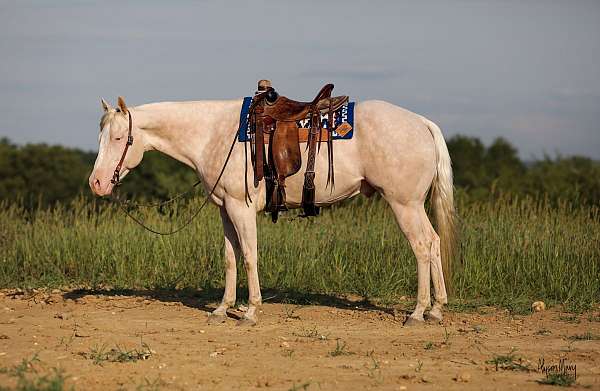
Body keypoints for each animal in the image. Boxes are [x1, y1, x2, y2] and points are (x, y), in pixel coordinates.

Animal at [88, 93, 454, 326]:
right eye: (100, 137)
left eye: (119, 138)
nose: (97, 183)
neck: (214, 134)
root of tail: (422, 123)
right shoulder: (225, 209)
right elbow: (230, 257)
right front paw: (222, 309)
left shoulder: (242, 208)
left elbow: (250, 256)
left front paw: (250, 311)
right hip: (414, 206)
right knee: (435, 242)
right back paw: (436, 310)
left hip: (404, 204)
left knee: (422, 246)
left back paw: (417, 313)